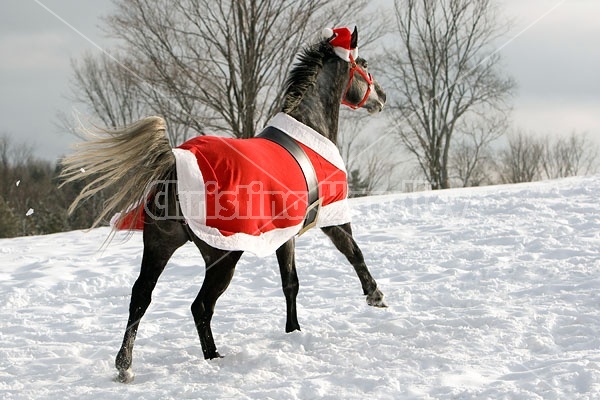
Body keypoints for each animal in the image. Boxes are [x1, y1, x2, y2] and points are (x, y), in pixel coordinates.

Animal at [61, 26, 386, 382]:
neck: (308, 130)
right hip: (222, 255)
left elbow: (290, 283)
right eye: (364, 65)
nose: (382, 98)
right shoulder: (332, 217)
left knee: (140, 297)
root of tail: (177, 164)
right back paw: (214, 357)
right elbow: (353, 252)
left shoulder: (283, 235)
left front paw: (293, 331)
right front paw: (375, 296)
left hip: (159, 244)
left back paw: (125, 366)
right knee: (200, 306)